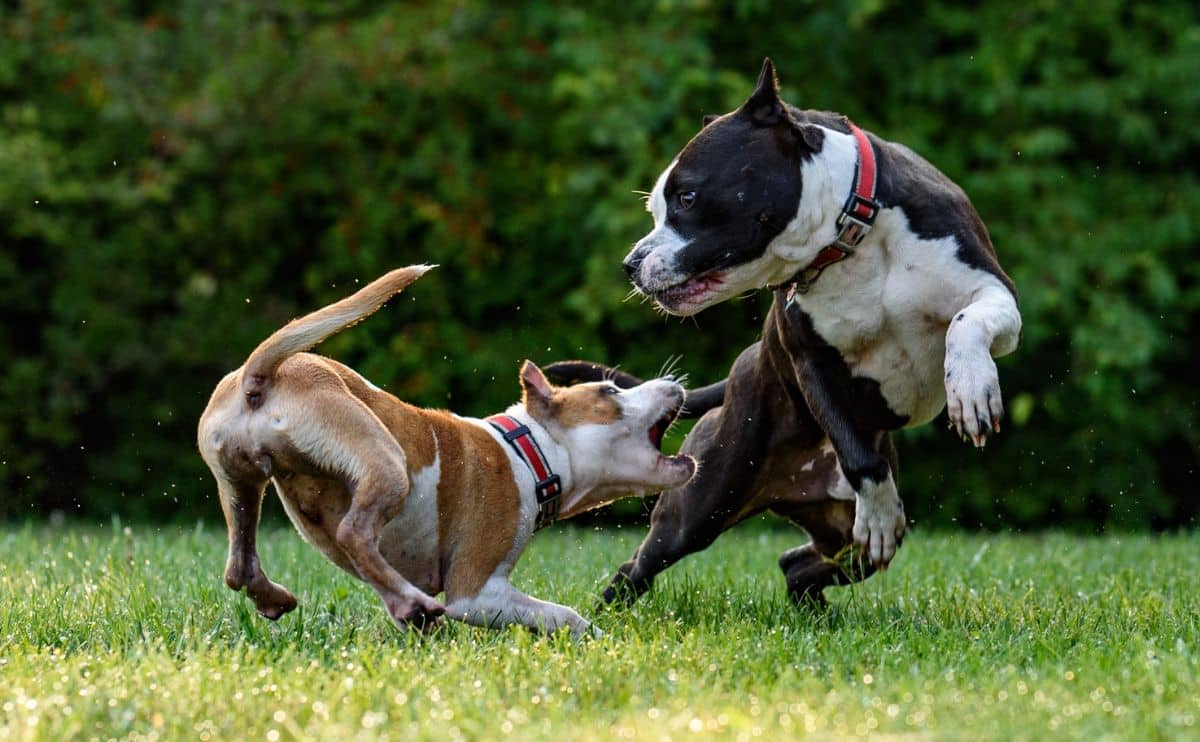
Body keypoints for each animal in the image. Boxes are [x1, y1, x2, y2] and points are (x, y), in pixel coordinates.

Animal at [196, 265, 696, 633]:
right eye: (610, 391)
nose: (674, 382)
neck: (528, 450)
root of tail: (258, 377)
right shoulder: (477, 592)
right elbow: (565, 616)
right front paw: (597, 640)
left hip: (240, 483)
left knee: (240, 564)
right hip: (384, 460)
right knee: (354, 532)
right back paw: (411, 601)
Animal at [549, 60, 1017, 607]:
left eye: (687, 197)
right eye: (656, 210)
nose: (630, 263)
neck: (850, 237)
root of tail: (739, 370)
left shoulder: (994, 292)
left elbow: (967, 324)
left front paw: (971, 389)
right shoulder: (811, 362)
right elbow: (858, 456)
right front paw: (880, 513)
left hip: (838, 534)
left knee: (800, 563)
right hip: (700, 505)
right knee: (641, 565)